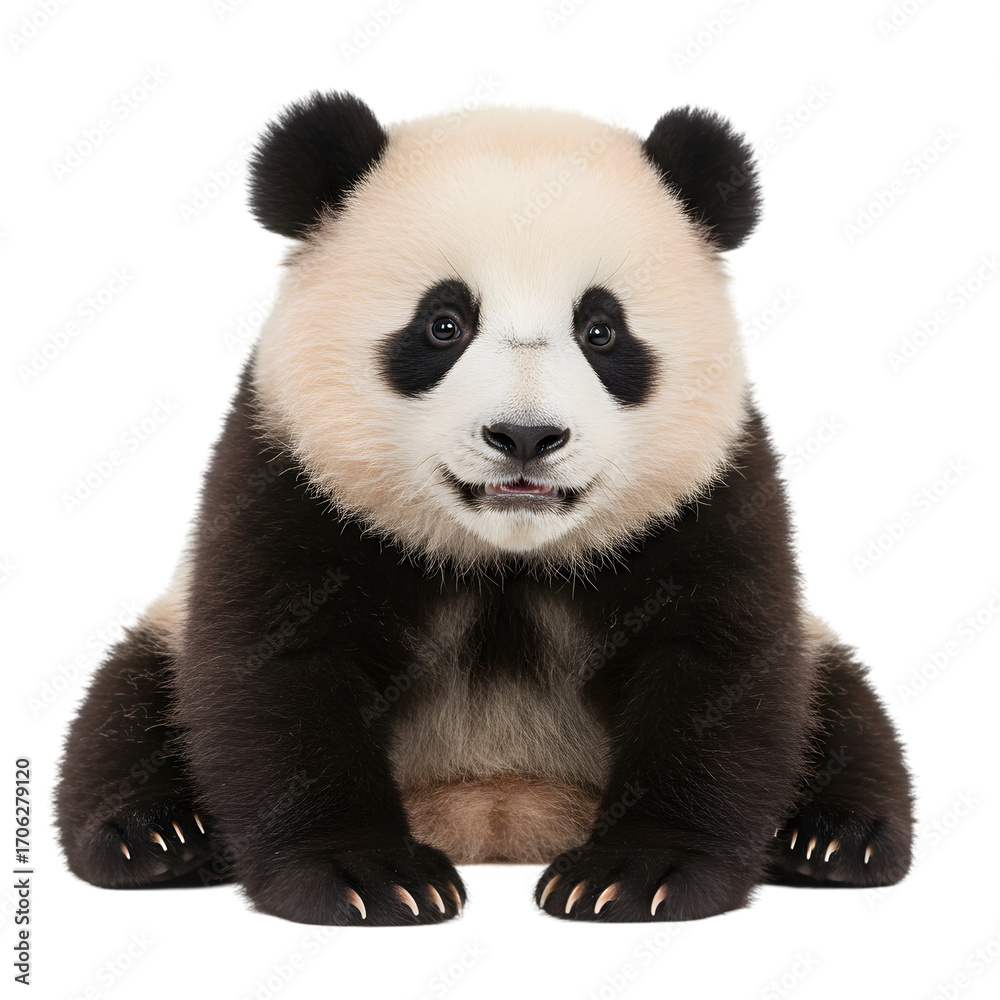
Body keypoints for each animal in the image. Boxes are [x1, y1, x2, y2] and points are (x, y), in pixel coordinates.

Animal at [56, 92, 913, 925]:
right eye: (444, 324)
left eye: (601, 330)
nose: (525, 436)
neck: (505, 558)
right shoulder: (288, 479)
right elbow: (281, 675)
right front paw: (364, 876)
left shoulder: (709, 497)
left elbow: (718, 670)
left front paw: (640, 874)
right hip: (166, 630)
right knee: (127, 705)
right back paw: (160, 836)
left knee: (842, 703)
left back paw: (834, 839)